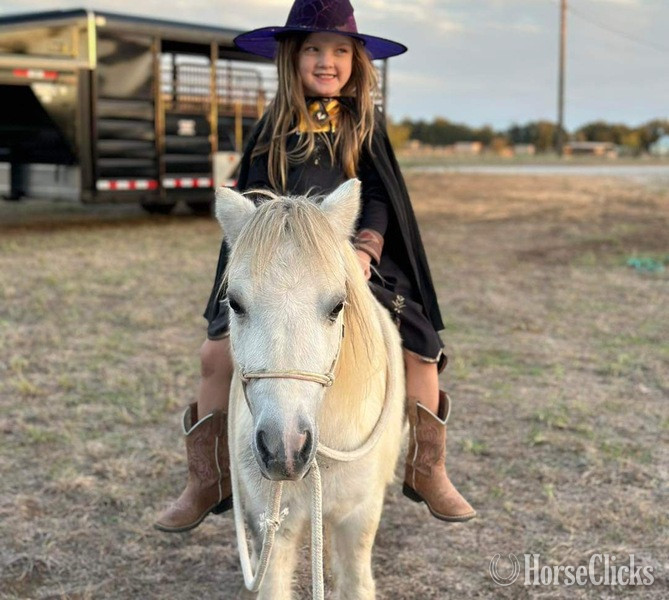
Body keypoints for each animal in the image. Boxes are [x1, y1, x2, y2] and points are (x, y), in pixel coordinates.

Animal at [215, 179, 405, 600]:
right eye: (235, 303)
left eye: (337, 306)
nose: (283, 448)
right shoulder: (272, 527)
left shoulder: (358, 519)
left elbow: (355, 583)